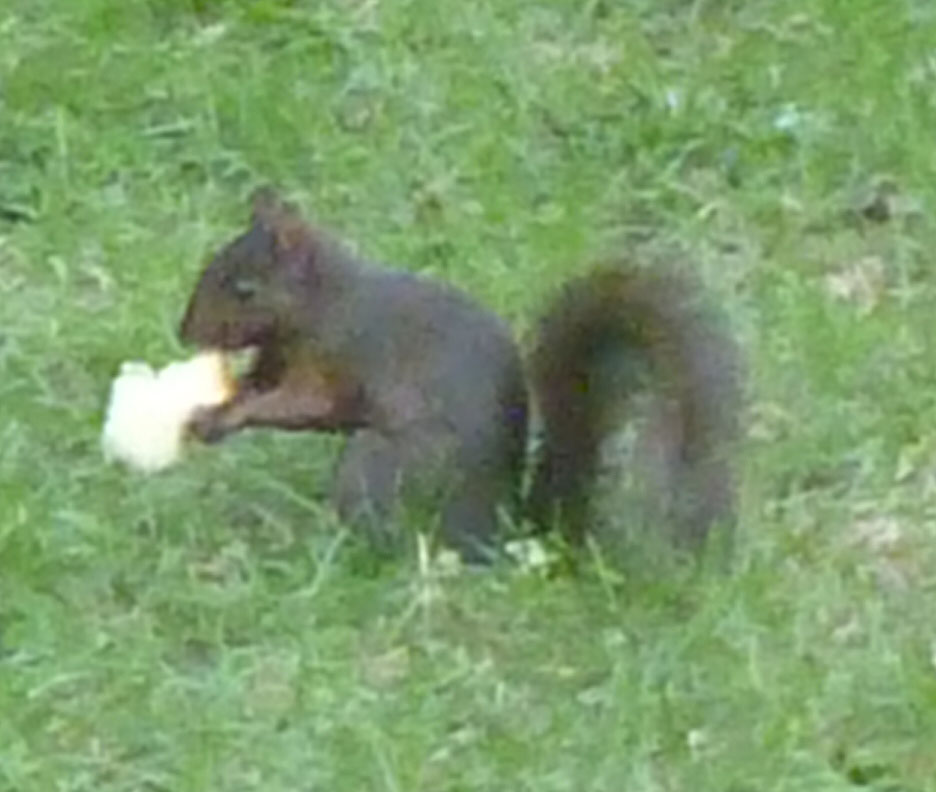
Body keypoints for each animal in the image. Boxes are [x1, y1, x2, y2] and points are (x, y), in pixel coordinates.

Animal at [179, 188, 741, 564]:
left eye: (245, 289)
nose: (184, 333)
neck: (324, 299)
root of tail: (494, 530)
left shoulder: (335, 357)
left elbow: (301, 403)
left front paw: (222, 416)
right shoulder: (276, 359)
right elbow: (257, 387)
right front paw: (218, 408)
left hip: (384, 465)